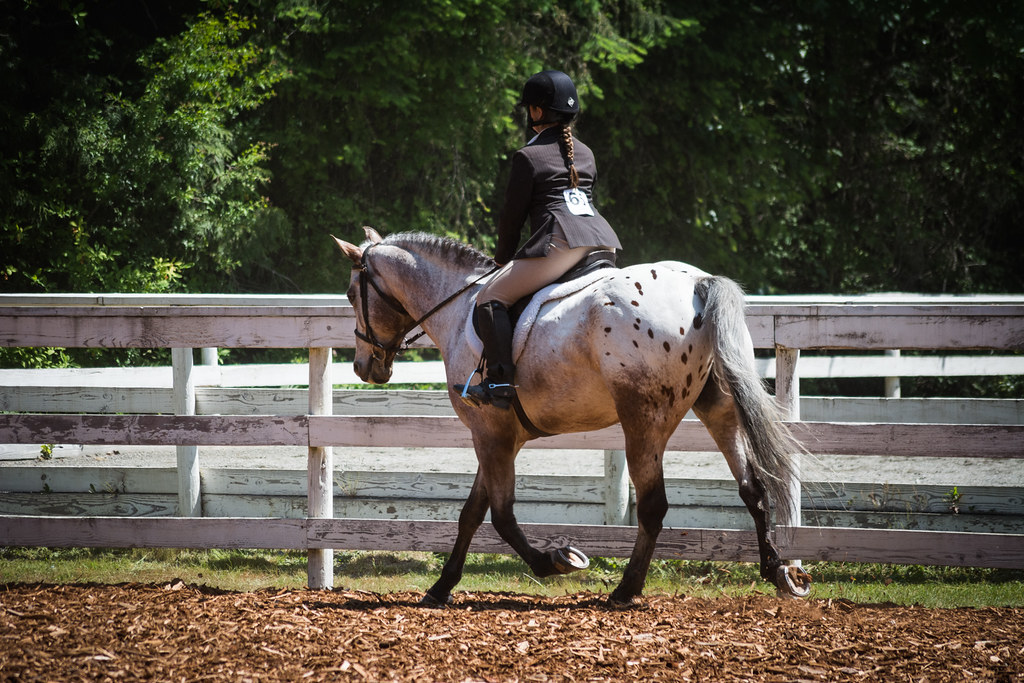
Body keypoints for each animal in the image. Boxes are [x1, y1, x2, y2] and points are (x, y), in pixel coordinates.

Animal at [333, 227, 811, 605]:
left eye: (353, 294)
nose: (363, 367)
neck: (459, 306)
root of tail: (698, 283)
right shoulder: (497, 436)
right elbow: (472, 512)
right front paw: (441, 587)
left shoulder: (489, 434)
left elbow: (501, 515)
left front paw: (556, 561)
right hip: (717, 407)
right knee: (752, 489)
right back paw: (778, 572)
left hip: (644, 420)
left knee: (654, 506)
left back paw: (625, 590)